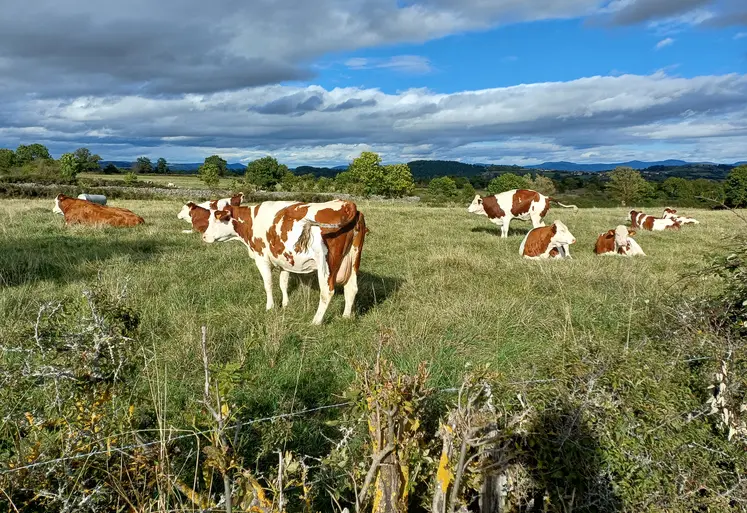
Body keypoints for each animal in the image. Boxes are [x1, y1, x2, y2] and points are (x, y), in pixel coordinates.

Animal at [203, 199, 366, 324]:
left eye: (216, 219)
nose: (204, 236)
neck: (252, 220)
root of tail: (346, 204)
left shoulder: (261, 258)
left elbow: (268, 284)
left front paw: (270, 307)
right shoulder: (284, 261)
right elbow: (283, 283)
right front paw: (285, 304)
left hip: (326, 264)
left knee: (327, 291)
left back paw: (316, 321)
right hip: (353, 259)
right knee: (351, 288)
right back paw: (345, 317)